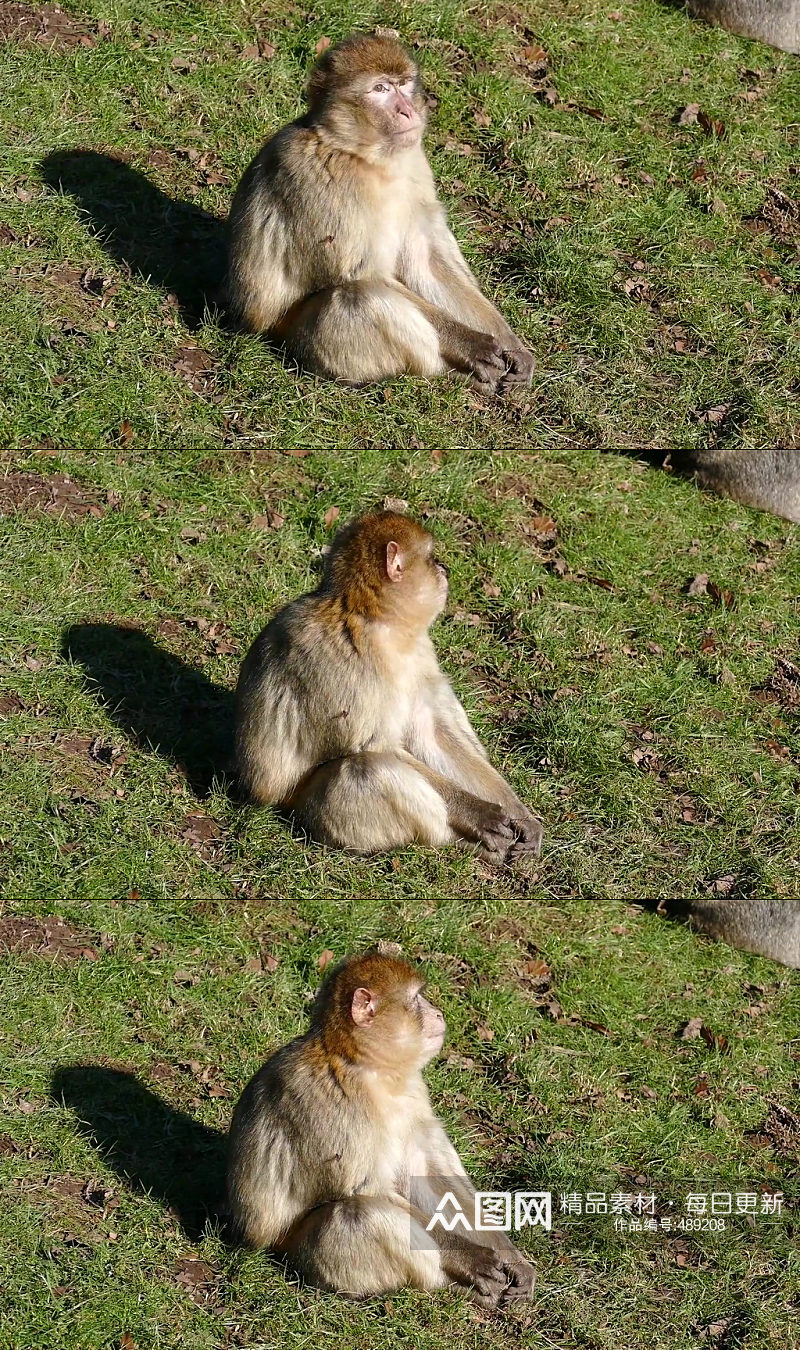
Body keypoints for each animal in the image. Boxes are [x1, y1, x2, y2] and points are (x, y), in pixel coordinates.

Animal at [223, 31, 534, 394]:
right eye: (380, 89)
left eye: (404, 84)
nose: (408, 111)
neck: (365, 157)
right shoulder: (319, 178)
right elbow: (363, 275)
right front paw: (471, 344)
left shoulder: (415, 164)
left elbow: (426, 261)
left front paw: (511, 345)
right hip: (300, 341)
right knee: (359, 296)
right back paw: (447, 373)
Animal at [223, 950, 536, 1306]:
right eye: (416, 999)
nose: (438, 1013)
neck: (368, 1068)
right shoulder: (331, 1103)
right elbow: (368, 1190)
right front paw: (468, 1256)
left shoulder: (414, 1095)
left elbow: (428, 1175)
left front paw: (512, 1259)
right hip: (299, 1253)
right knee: (358, 1214)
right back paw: (449, 1287)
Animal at [232, 507, 542, 864]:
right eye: (431, 558)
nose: (444, 569)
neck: (378, 623)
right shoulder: (347, 661)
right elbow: (375, 746)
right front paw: (477, 813)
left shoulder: (419, 655)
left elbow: (433, 734)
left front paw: (521, 815)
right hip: (310, 813)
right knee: (366, 768)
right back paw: (455, 842)